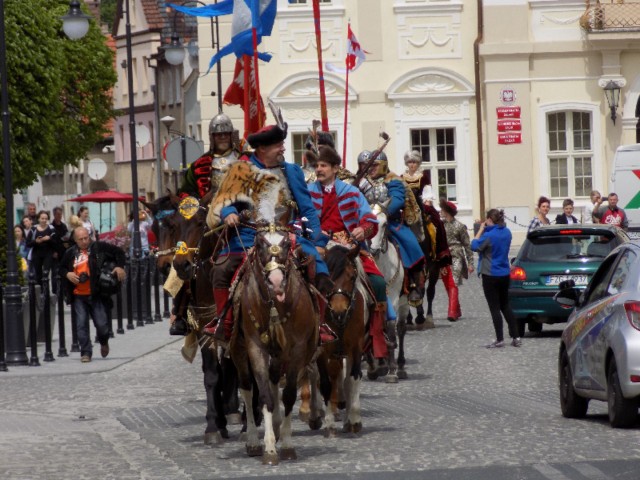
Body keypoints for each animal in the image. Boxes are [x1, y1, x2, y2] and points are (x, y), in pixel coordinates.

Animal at [231, 224, 318, 464]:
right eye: (260, 244)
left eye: (287, 244)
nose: (277, 282)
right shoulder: (255, 348)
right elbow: (265, 396)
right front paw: (269, 448)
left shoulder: (296, 349)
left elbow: (288, 395)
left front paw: (287, 444)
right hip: (240, 351)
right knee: (247, 388)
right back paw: (253, 440)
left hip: (281, 353)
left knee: (274, 378)